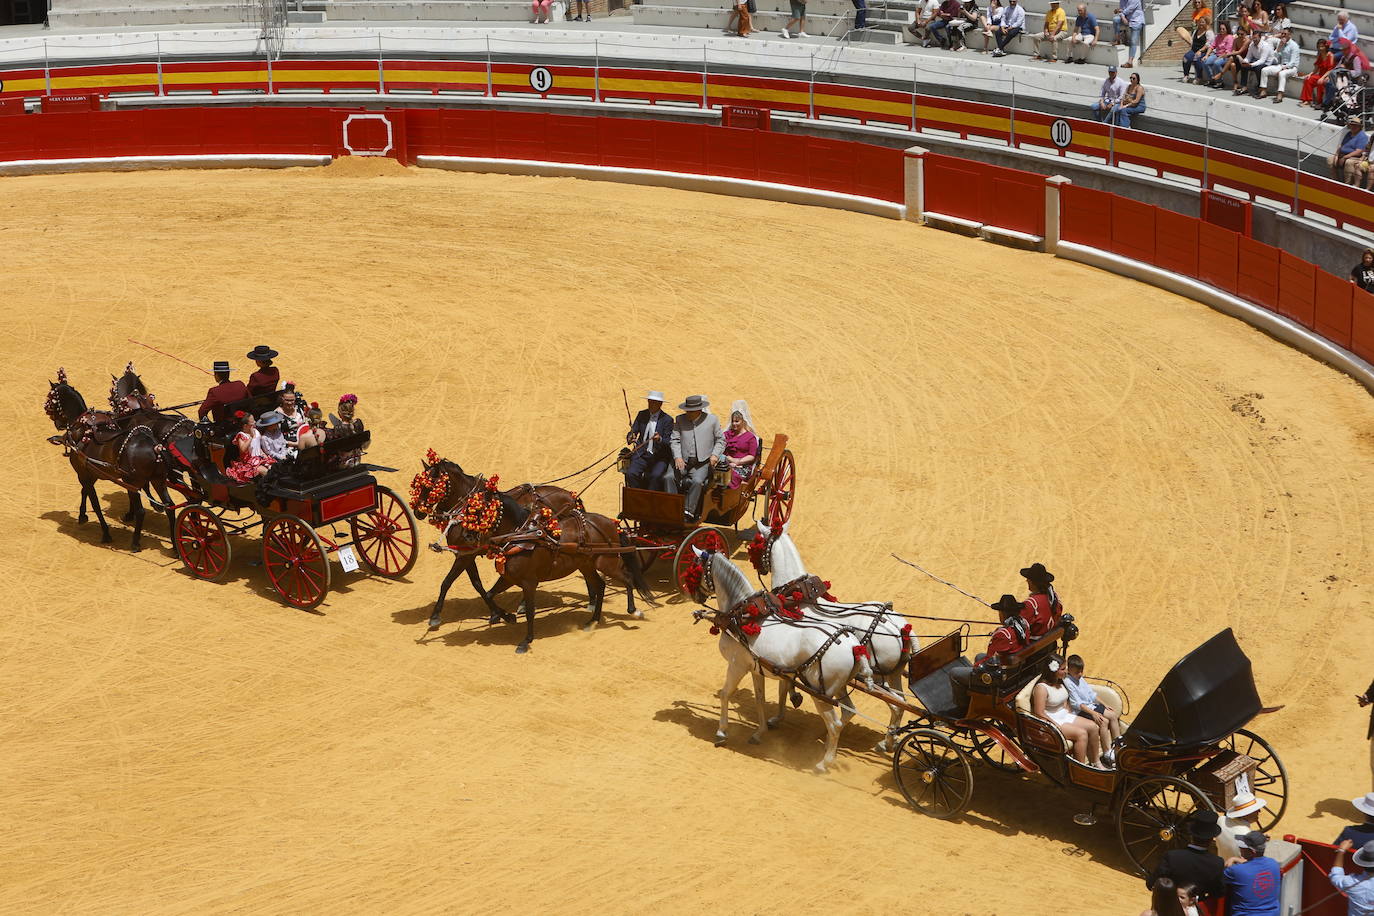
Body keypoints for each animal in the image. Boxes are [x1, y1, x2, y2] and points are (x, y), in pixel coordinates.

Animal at [46, 368, 177, 552]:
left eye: (49, 399)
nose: (57, 424)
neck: (82, 427)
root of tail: (154, 447)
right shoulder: (90, 474)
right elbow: (84, 492)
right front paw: (82, 515)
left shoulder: (83, 474)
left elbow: (95, 503)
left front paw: (105, 533)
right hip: (159, 480)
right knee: (170, 507)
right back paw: (175, 546)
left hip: (133, 482)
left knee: (141, 511)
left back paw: (135, 542)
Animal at [687, 552, 879, 774]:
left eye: (695, 568)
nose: (693, 595)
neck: (743, 617)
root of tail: (853, 645)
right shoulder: (755, 669)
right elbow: (759, 699)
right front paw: (759, 732)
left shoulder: (736, 666)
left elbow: (726, 694)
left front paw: (721, 732)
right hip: (838, 689)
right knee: (847, 711)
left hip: (820, 694)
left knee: (835, 725)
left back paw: (823, 763)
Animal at [747, 521, 917, 752]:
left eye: (758, 542)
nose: (757, 566)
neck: (797, 597)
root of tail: (899, 626)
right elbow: (786, 685)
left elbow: (783, 686)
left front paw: (780, 713)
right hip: (894, 674)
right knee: (900, 704)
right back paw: (887, 741)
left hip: (879, 679)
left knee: (895, 706)